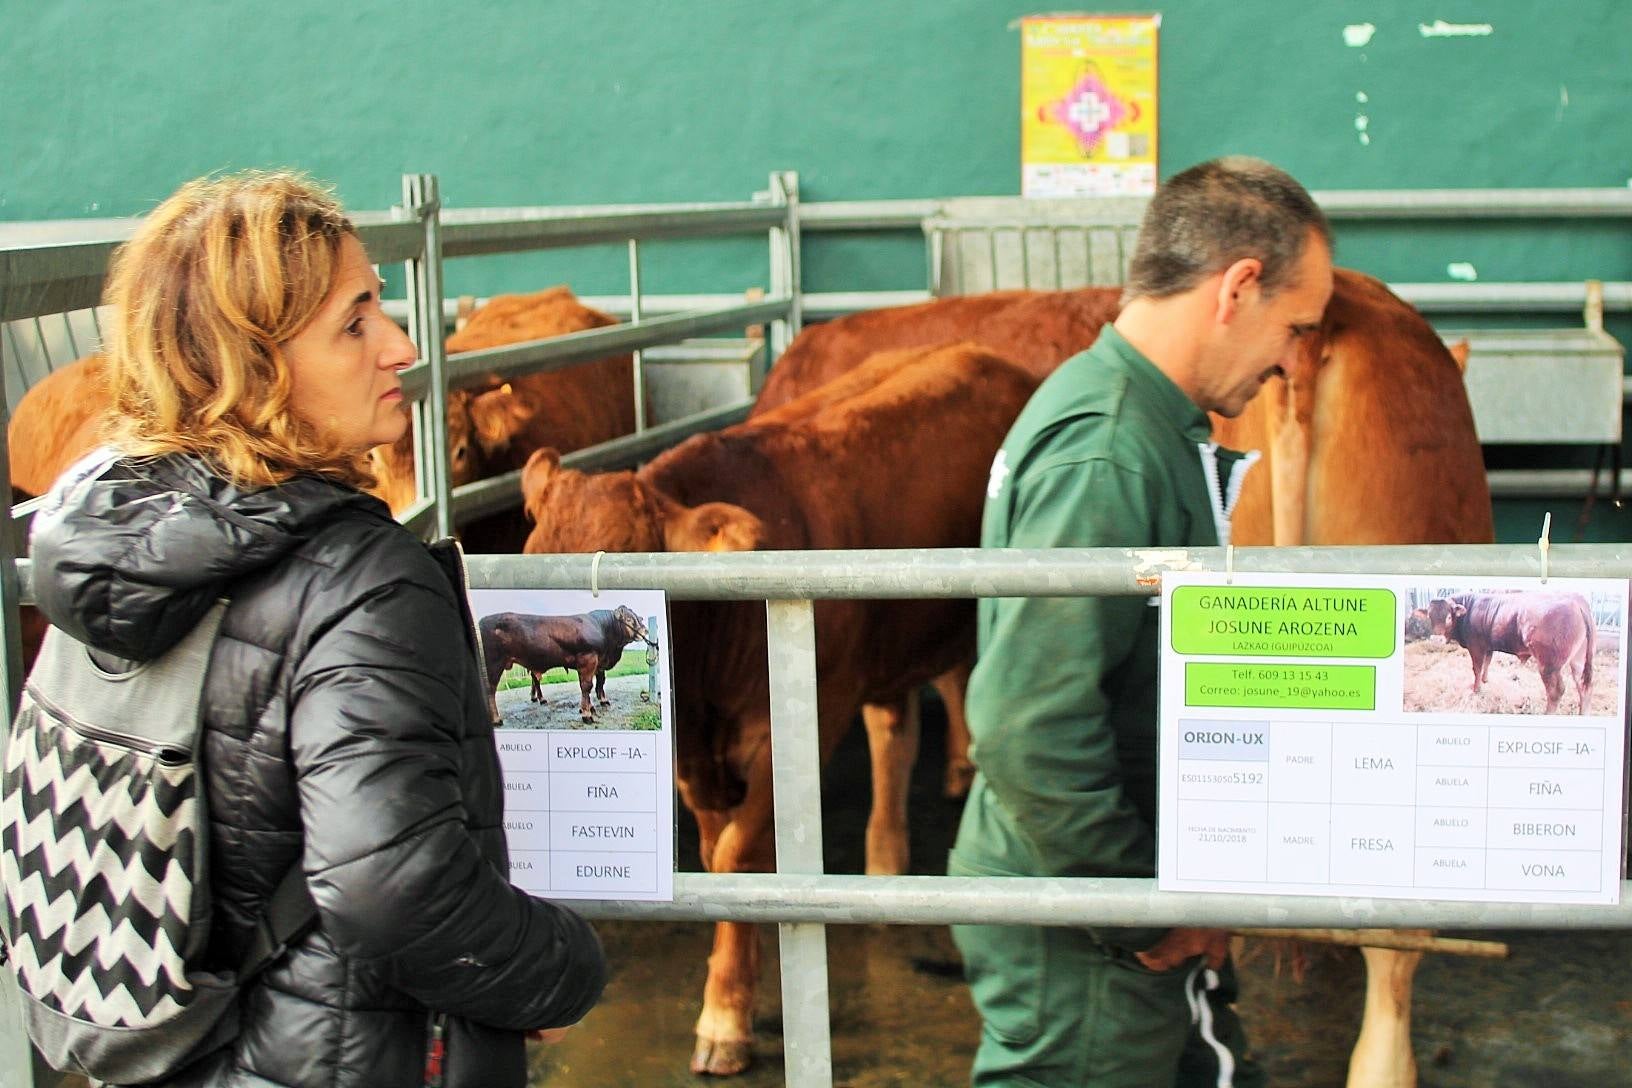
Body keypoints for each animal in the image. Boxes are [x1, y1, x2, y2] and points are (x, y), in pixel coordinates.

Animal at [476, 603, 652, 724]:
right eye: (629, 619)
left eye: (638, 618)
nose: (645, 631)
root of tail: (482, 621)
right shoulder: (588, 658)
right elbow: (587, 686)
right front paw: (587, 714)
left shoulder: (596, 663)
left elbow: (597, 684)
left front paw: (591, 707)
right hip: (494, 663)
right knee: (490, 689)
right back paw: (496, 719)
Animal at [515, 344, 1037, 1076]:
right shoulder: (696, 758)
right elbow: (717, 856)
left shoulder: (798, 726)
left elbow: (742, 857)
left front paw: (725, 1016)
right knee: (896, 726)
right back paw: (888, 863)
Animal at [1429, 597, 1592, 714]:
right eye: (1429, 616)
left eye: (1448, 617)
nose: (1436, 640)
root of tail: (1576, 603)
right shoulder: (1488, 646)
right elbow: (1487, 663)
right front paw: (1485, 681)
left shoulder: (1476, 647)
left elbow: (1477, 669)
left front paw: (1476, 690)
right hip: (1578, 661)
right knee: (1584, 687)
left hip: (1549, 665)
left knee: (1556, 691)